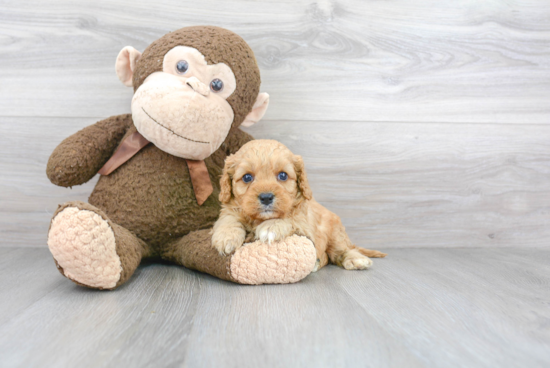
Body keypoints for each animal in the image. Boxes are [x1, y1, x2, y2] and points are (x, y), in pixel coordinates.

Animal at [211, 139, 388, 272]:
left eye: (283, 175)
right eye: (247, 177)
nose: (266, 197)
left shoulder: (304, 224)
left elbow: (290, 219)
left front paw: (271, 226)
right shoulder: (229, 209)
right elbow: (228, 219)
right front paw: (226, 237)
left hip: (336, 235)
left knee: (342, 251)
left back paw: (356, 259)